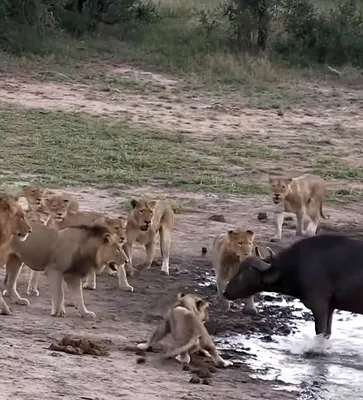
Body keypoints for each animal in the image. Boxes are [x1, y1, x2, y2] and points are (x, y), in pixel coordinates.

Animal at [223, 234, 363, 338]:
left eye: (244, 273)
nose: (226, 292)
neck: (297, 265)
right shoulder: (330, 308)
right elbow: (327, 333)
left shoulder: (319, 305)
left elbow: (320, 331)